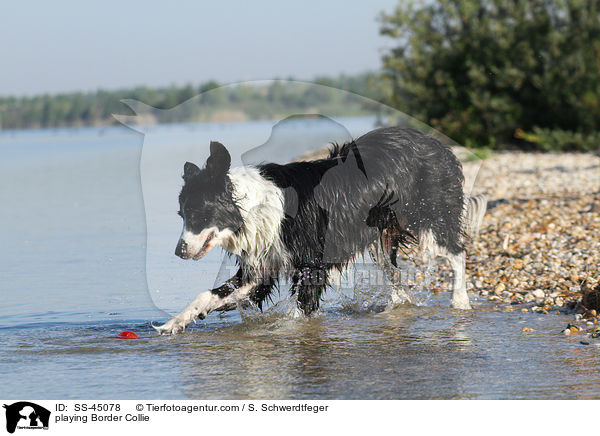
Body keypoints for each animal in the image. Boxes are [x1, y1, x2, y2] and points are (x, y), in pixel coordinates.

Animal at [152, 126, 486, 334]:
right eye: (181, 214)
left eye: (197, 213)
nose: (179, 251)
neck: (253, 208)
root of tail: (436, 143)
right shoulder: (259, 268)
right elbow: (208, 294)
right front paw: (175, 323)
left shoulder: (312, 262)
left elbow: (300, 312)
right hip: (381, 237)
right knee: (395, 274)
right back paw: (399, 307)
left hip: (431, 215)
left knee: (456, 251)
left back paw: (460, 301)